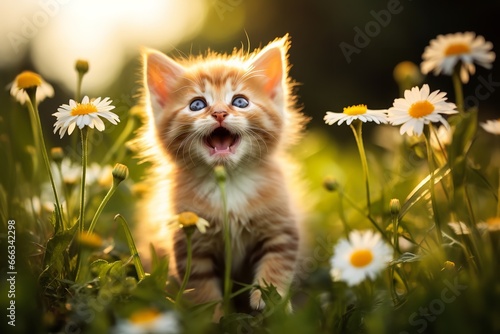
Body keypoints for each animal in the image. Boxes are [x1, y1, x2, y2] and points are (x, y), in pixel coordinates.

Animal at [135, 35, 306, 320]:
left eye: (240, 102)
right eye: (197, 104)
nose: (219, 113)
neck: (229, 184)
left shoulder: (281, 227)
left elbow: (277, 263)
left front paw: (270, 302)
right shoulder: (190, 243)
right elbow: (200, 286)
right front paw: (214, 318)